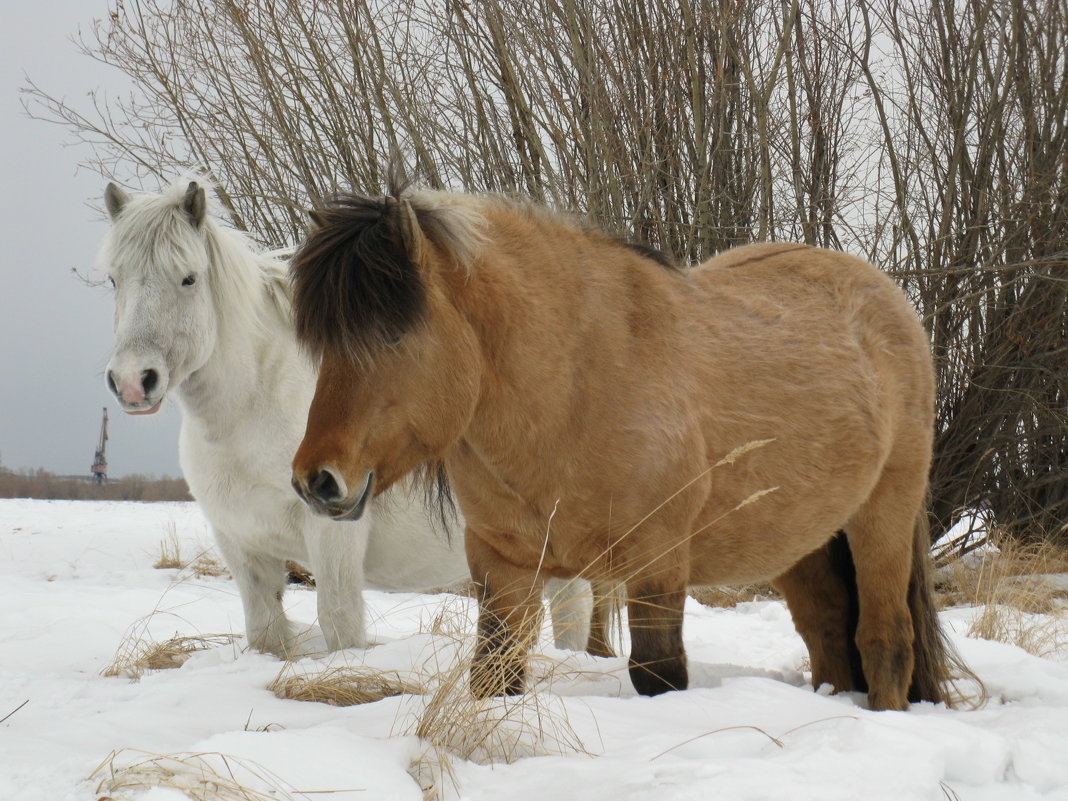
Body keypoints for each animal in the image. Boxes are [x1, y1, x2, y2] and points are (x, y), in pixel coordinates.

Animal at [100, 177, 602, 657]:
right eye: (113, 279)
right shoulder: (241, 543)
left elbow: (339, 624)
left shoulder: (332, 532)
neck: (253, 413)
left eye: (188, 279)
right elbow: (265, 632)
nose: (133, 381)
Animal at [290, 184, 961, 713]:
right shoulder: (503, 569)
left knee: (885, 639)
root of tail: (886, 299)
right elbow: (494, 675)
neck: (574, 390)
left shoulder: (655, 563)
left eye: (393, 335)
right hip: (802, 539)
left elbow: (658, 675)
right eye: (320, 342)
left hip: (882, 514)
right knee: (828, 634)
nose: (315, 481)